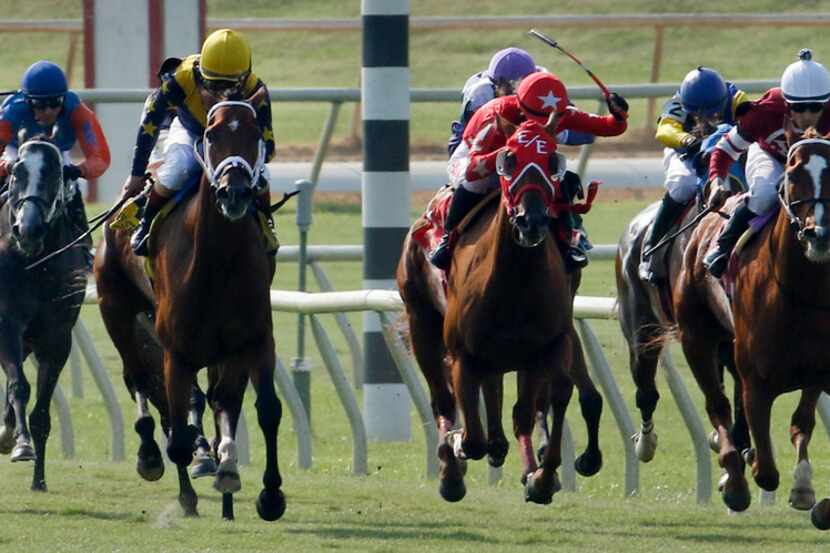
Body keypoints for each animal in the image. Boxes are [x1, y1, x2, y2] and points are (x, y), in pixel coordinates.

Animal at [94, 96, 286, 520]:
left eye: (256, 132)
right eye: (211, 135)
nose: (235, 193)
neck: (217, 262)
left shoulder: (254, 340)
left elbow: (265, 409)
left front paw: (269, 494)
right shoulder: (176, 353)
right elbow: (180, 431)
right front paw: (187, 495)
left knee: (217, 399)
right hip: (116, 309)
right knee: (136, 377)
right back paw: (150, 454)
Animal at [398, 121, 604, 504]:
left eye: (552, 160)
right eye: (508, 160)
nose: (531, 221)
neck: (514, 280)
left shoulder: (547, 345)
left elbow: (547, 401)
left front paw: (542, 477)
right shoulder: (462, 354)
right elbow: (471, 437)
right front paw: (458, 447)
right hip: (421, 324)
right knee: (442, 401)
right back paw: (451, 472)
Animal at [676, 130, 830, 516]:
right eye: (792, 174)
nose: (818, 233)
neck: (800, 291)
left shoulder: (819, 371)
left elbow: (802, 422)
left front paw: (804, 487)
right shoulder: (755, 380)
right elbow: (766, 471)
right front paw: (742, 470)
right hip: (695, 337)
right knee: (716, 404)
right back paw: (733, 478)